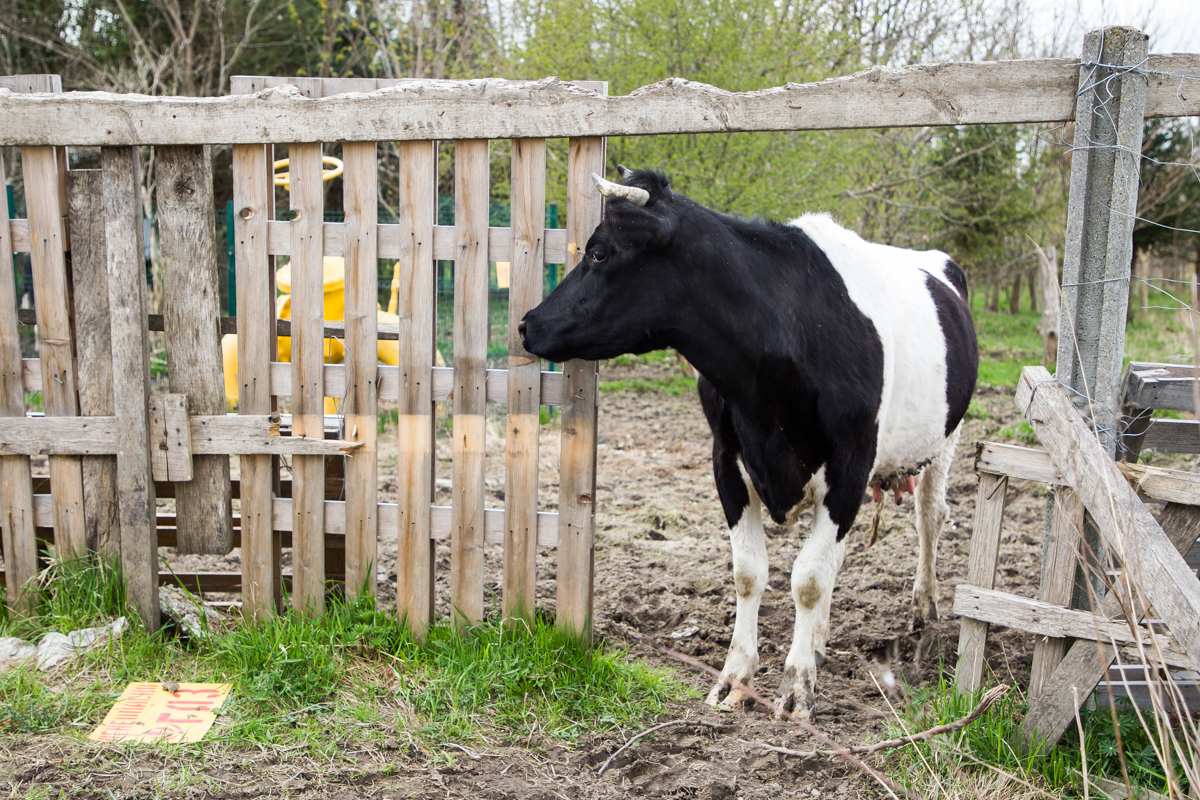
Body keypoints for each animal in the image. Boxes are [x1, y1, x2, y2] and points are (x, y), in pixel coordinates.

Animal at [520, 167, 979, 719]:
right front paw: (736, 677)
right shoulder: (727, 461)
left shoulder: (850, 463)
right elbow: (750, 572)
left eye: (598, 253)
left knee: (929, 518)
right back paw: (820, 641)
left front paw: (796, 687)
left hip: (944, 440)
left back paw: (924, 610)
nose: (527, 323)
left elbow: (808, 579)